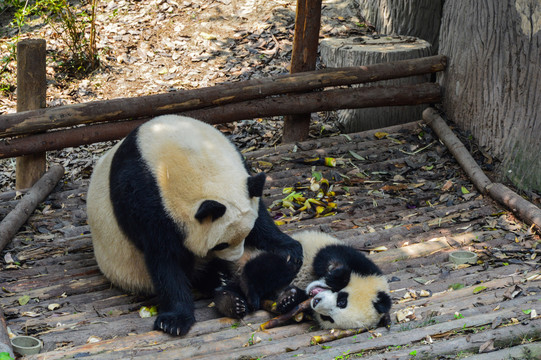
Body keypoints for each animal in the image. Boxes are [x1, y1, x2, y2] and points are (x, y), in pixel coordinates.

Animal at [86, 116, 302, 338]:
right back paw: (223, 285)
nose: (233, 259)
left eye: (246, 235)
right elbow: (165, 259)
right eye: (221, 245)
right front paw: (174, 321)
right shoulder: (144, 199)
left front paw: (288, 249)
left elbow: (261, 219)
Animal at [213, 232, 390, 330]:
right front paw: (336, 276)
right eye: (342, 300)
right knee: (274, 267)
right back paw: (248, 289)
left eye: (329, 318)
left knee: (233, 287)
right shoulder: (360, 262)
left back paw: (231, 302)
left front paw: (288, 298)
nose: (316, 302)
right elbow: (328, 257)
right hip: (281, 253)